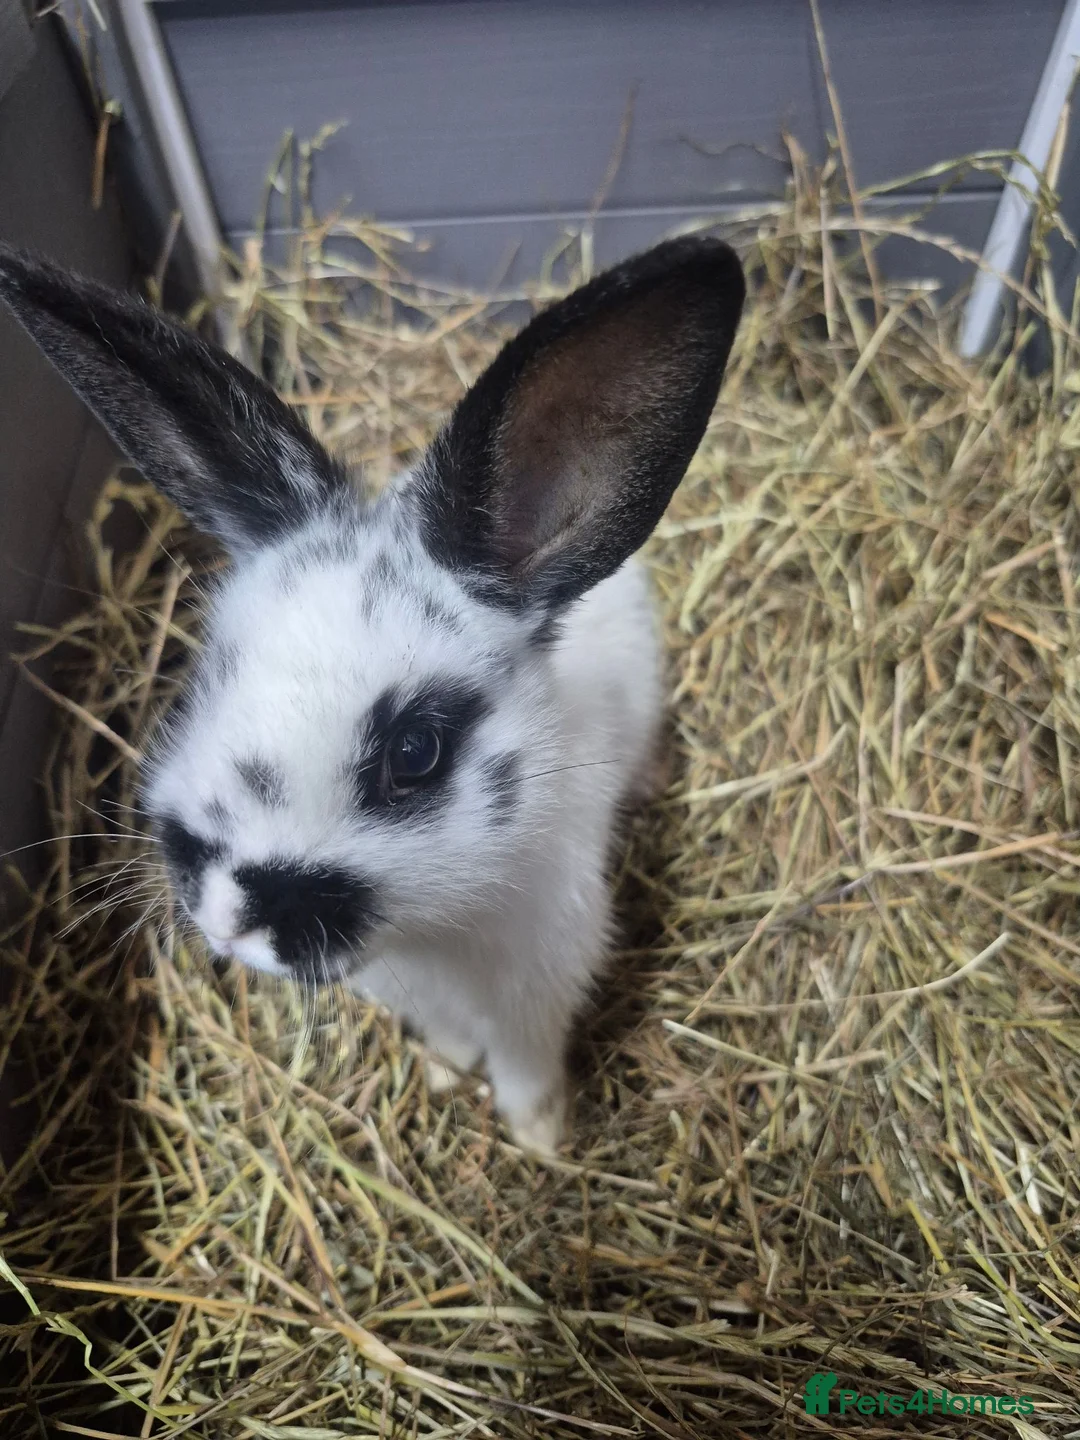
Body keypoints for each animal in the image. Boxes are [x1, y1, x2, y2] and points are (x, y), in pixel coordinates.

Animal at [0, 237, 744, 1155]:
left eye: (414, 752)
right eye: (210, 673)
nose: (224, 915)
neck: (430, 933)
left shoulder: (540, 994)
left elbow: (526, 1072)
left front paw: (544, 1142)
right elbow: (454, 1042)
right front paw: (445, 1074)